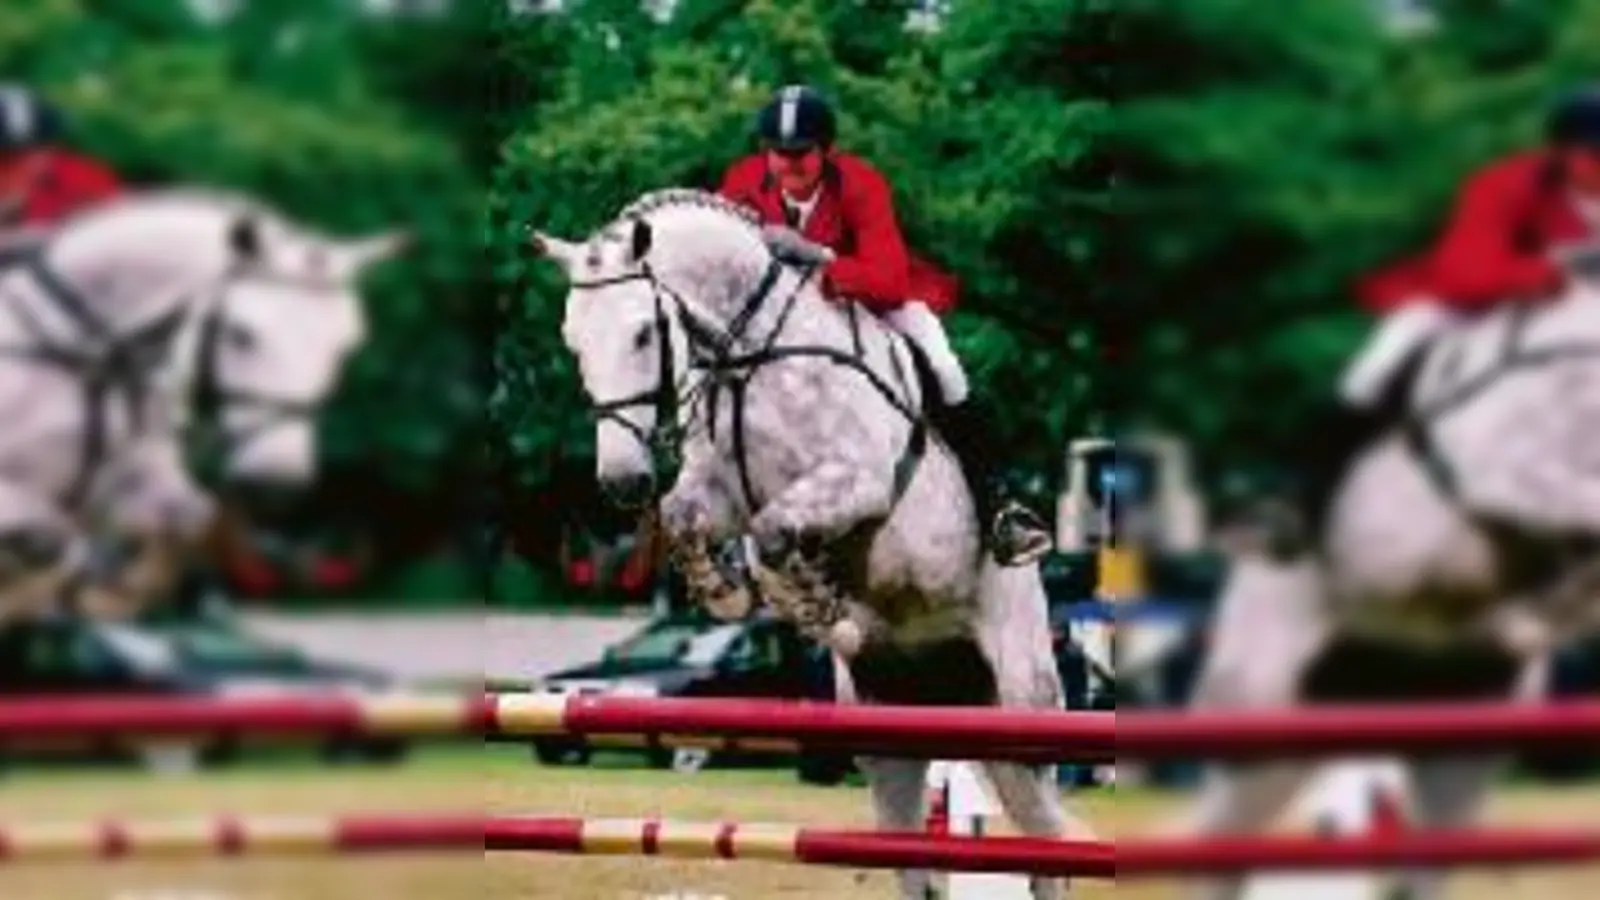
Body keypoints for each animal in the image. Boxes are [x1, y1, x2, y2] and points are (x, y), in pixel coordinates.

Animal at [0, 187, 404, 620]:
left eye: (347, 347)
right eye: (241, 333)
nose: (275, 484)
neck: (91, 362)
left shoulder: (140, 484)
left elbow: (186, 524)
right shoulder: (25, 498)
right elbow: (55, 539)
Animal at [531, 187, 1084, 900]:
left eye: (643, 333)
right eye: (573, 341)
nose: (623, 482)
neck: (749, 356)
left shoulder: (856, 481)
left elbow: (772, 536)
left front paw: (816, 605)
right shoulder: (717, 493)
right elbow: (687, 518)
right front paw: (732, 592)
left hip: (1020, 700)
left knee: (1048, 838)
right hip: (891, 724)